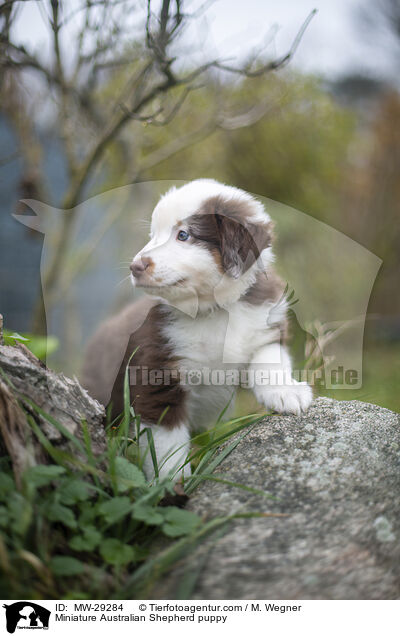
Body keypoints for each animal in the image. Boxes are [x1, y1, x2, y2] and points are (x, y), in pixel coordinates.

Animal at [82, 179, 312, 482]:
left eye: (183, 235)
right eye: (153, 235)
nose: (135, 266)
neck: (214, 311)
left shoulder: (266, 325)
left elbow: (270, 358)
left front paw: (286, 392)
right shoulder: (157, 369)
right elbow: (168, 446)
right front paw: (172, 483)